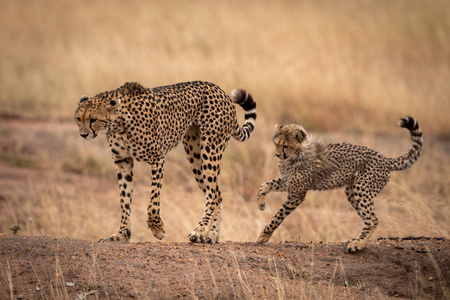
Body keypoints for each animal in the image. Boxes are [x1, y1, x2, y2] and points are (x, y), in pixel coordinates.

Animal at [75, 80, 255, 244]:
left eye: (93, 119)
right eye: (78, 119)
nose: (83, 135)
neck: (119, 123)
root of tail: (219, 90)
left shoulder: (157, 158)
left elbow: (153, 200)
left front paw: (157, 228)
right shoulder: (123, 162)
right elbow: (124, 201)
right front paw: (122, 234)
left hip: (210, 150)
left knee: (213, 195)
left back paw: (200, 230)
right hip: (195, 157)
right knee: (218, 194)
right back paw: (211, 235)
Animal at [256, 116, 422, 252]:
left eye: (285, 146)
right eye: (275, 144)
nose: (277, 155)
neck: (297, 154)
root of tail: (385, 158)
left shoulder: (297, 194)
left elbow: (277, 216)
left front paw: (263, 236)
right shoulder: (288, 182)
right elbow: (265, 184)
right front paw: (261, 203)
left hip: (362, 187)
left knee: (373, 219)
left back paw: (358, 244)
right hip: (352, 191)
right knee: (368, 217)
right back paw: (355, 240)